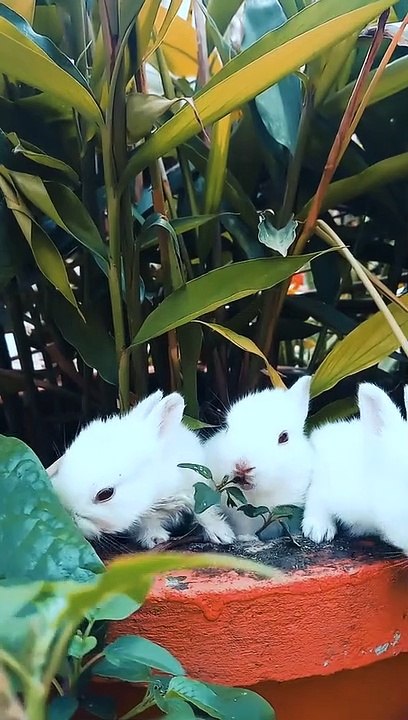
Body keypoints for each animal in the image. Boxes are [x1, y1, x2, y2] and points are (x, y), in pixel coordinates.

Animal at [51, 390, 235, 549]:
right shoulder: (145, 514)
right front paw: (156, 539)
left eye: (105, 494)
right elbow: (148, 523)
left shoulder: (198, 492)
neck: (158, 486)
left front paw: (222, 535)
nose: (69, 515)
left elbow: (206, 513)